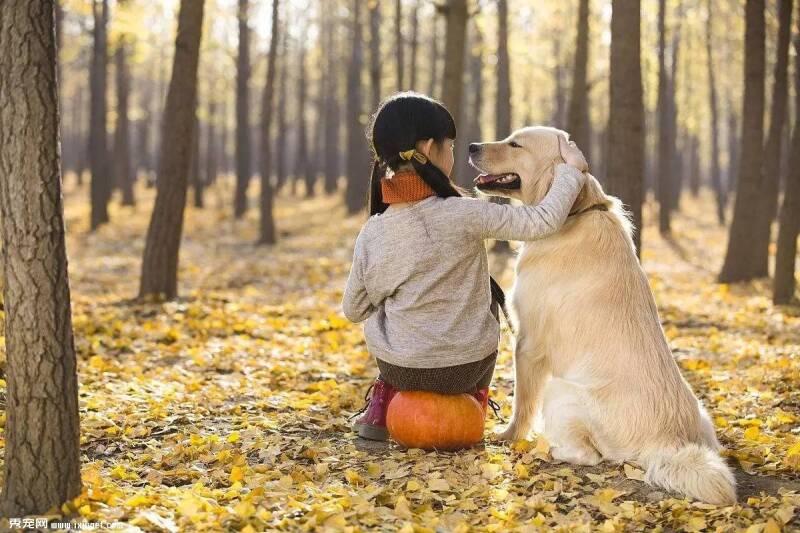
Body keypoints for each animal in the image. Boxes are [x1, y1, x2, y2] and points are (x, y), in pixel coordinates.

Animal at [468, 127, 736, 504]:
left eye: (515, 144)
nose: (471, 146)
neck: (573, 213)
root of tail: (668, 442)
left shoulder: (528, 343)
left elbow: (522, 403)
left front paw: (509, 436)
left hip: (560, 389)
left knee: (589, 455)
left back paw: (548, 448)